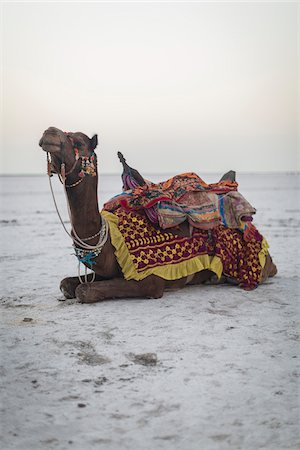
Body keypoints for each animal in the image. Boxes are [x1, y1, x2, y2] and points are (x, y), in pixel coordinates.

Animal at [39, 125, 276, 304]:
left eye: (78, 142)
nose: (49, 132)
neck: (109, 240)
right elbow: (67, 284)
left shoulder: (151, 281)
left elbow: (84, 291)